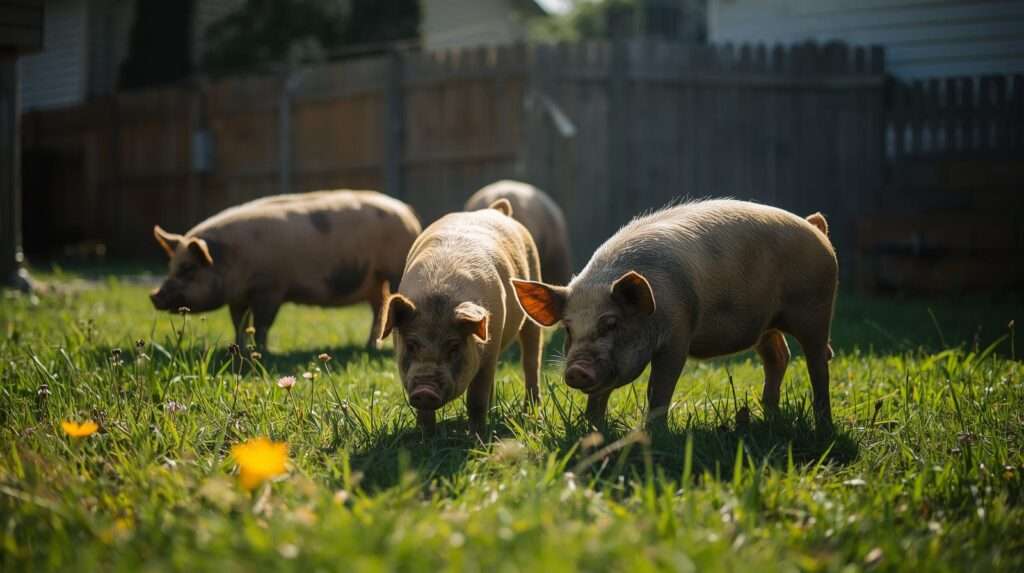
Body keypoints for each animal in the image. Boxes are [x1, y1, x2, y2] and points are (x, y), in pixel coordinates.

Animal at [150, 190, 422, 350]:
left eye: (188, 268)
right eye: (171, 267)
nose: (154, 296)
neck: (232, 260)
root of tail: (407, 212)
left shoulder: (270, 288)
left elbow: (262, 323)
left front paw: (262, 352)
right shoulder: (238, 297)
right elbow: (239, 323)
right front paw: (238, 350)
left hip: (393, 270)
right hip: (372, 281)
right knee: (379, 307)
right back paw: (369, 346)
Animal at [378, 199, 543, 435]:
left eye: (454, 346)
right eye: (411, 344)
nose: (425, 390)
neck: (438, 295)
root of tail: (497, 210)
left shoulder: (489, 352)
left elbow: (476, 398)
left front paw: (476, 437)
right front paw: (425, 435)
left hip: (532, 300)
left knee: (530, 360)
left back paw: (531, 412)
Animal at [511, 199, 838, 432]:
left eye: (611, 323)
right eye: (568, 328)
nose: (576, 369)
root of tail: (816, 229)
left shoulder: (679, 334)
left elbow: (658, 387)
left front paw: (654, 434)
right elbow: (599, 395)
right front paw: (592, 426)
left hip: (816, 308)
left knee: (818, 361)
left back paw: (823, 424)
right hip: (765, 325)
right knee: (778, 356)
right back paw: (768, 415)